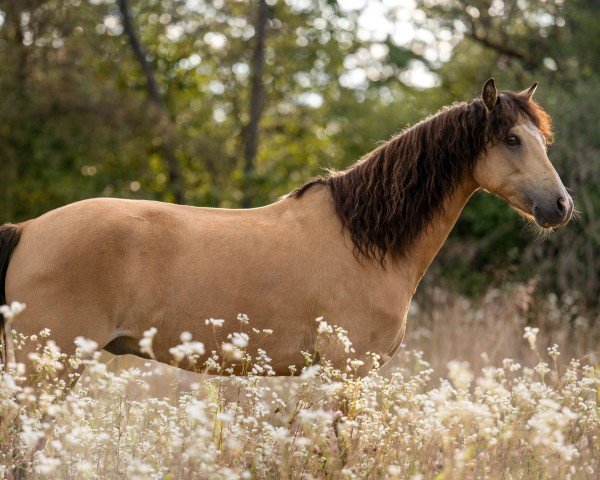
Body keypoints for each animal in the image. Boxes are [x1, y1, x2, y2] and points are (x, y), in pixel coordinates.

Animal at [0, 79, 572, 378]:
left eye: (542, 139)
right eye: (512, 140)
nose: (561, 206)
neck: (367, 242)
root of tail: (28, 229)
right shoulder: (348, 372)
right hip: (47, 365)